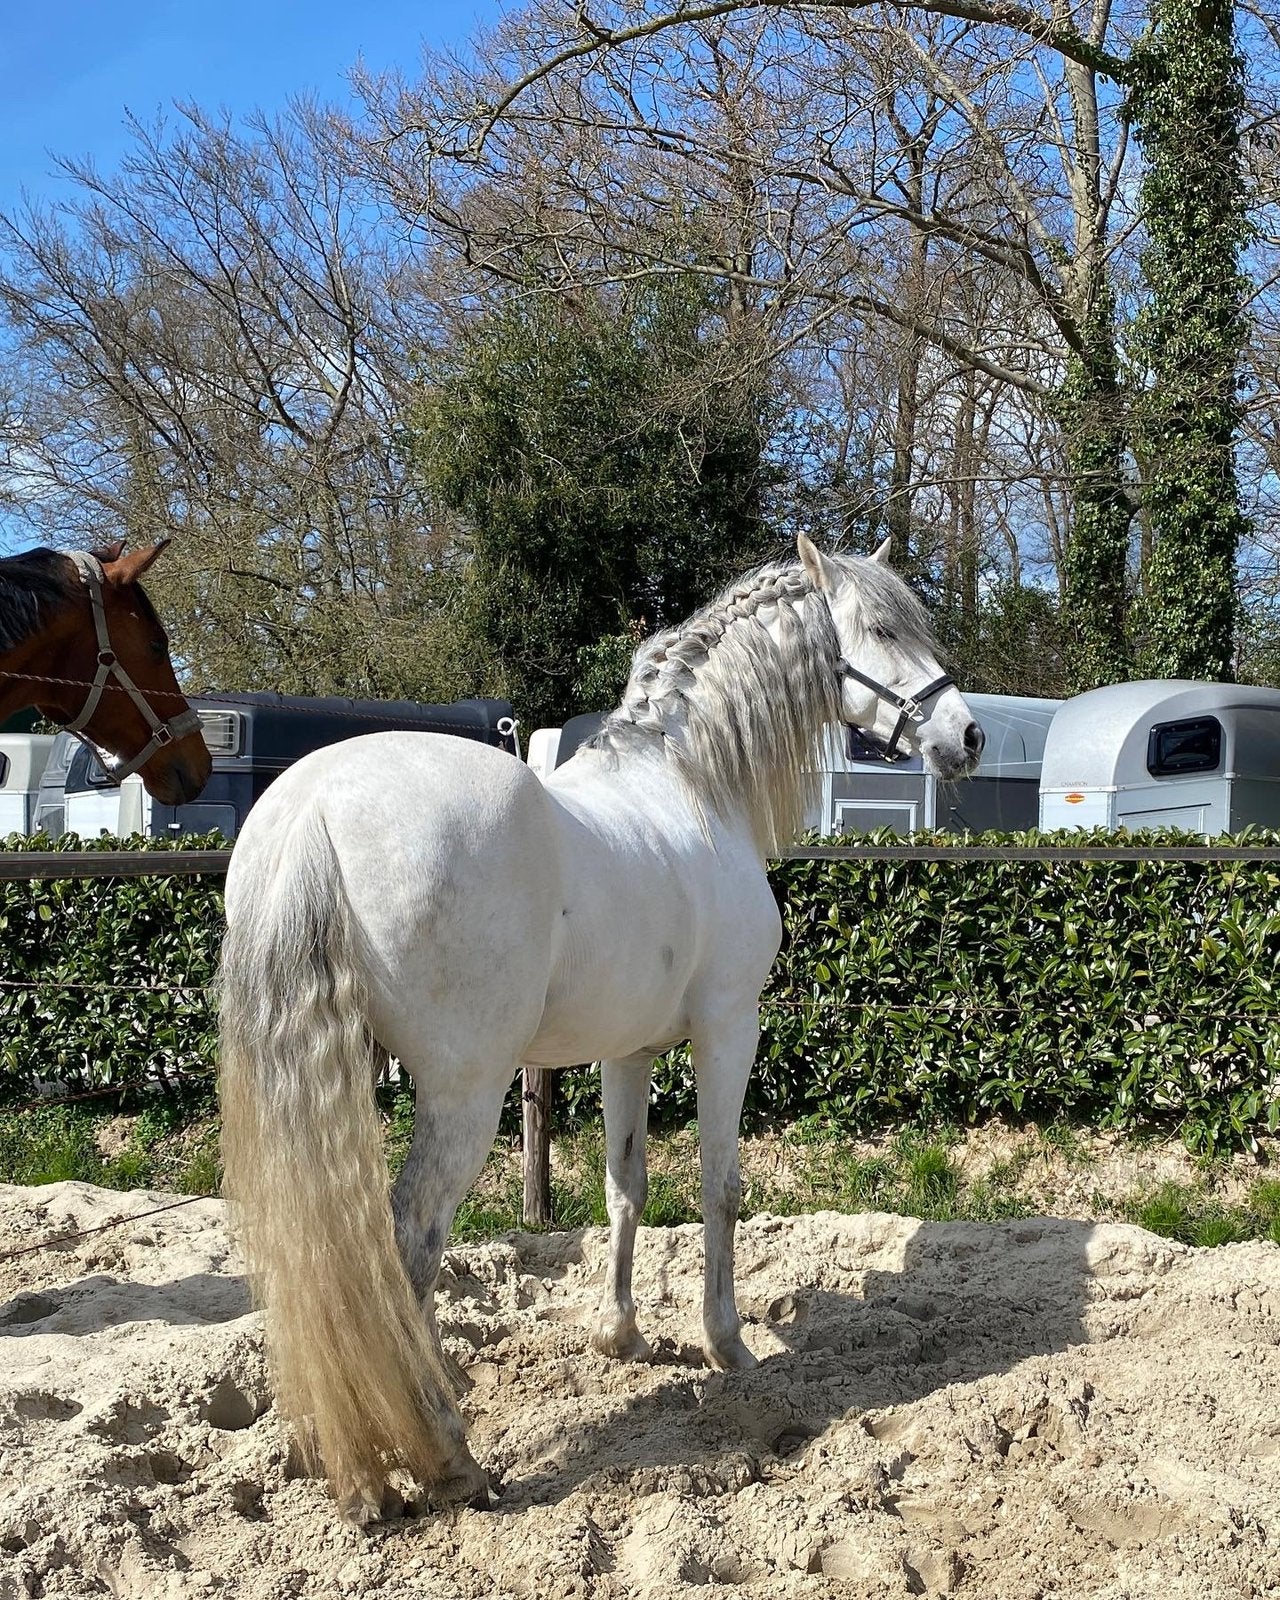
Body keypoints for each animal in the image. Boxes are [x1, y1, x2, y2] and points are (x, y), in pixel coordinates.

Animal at [218, 534, 984, 1520]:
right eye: (883, 630)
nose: (966, 735)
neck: (691, 784)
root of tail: (313, 806)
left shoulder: (628, 1052)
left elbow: (627, 1188)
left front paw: (622, 1335)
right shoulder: (729, 1028)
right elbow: (720, 1189)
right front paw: (727, 1343)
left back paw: (336, 1446)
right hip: (466, 1094)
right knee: (409, 1246)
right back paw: (449, 1457)